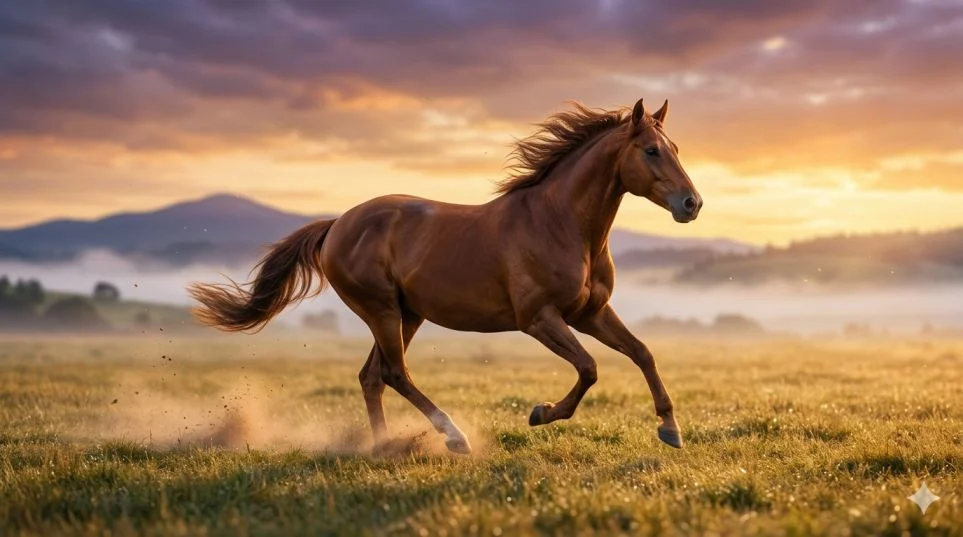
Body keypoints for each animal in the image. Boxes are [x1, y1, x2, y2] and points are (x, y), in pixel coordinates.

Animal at [188, 97, 703, 454]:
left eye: (677, 148)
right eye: (652, 151)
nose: (692, 204)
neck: (560, 223)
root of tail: (338, 225)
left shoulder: (590, 313)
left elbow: (642, 352)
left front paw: (670, 429)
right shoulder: (539, 319)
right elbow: (590, 368)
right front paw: (541, 413)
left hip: (406, 314)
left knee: (371, 377)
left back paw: (384, 447)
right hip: (381, 310)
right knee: (394, 373)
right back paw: (453, 437)